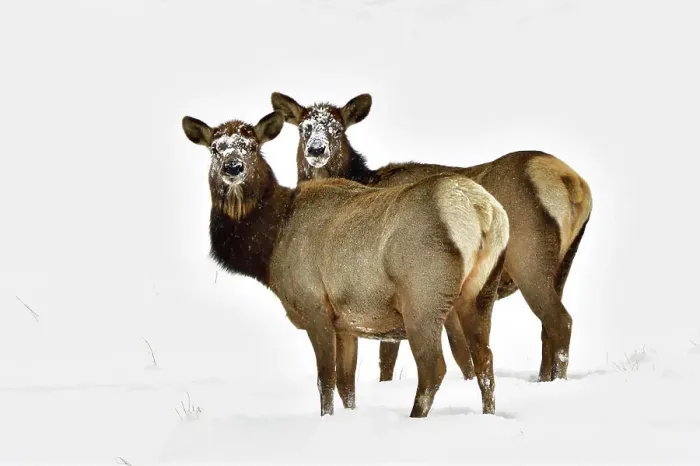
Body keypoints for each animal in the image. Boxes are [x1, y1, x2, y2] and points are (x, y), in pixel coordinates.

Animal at [181, 110, 509, 417]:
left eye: (251, 146)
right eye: (215, 148)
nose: (233, 168)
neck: (271, 245)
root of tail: (482, 211)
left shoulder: (314, 305)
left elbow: (325, 381)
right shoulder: (347, 323)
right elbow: (346, 385)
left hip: (423, 295)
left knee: (434, 368)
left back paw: (414, 417)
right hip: (480, 293)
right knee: (485, 360)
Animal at [271, 92, 593, 383]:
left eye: (337, 129)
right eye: (303, 128)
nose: (316, 150)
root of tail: (573, 183)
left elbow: (397, 358)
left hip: (529, 259)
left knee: (560, 321)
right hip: (564, 262)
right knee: (546, 330)